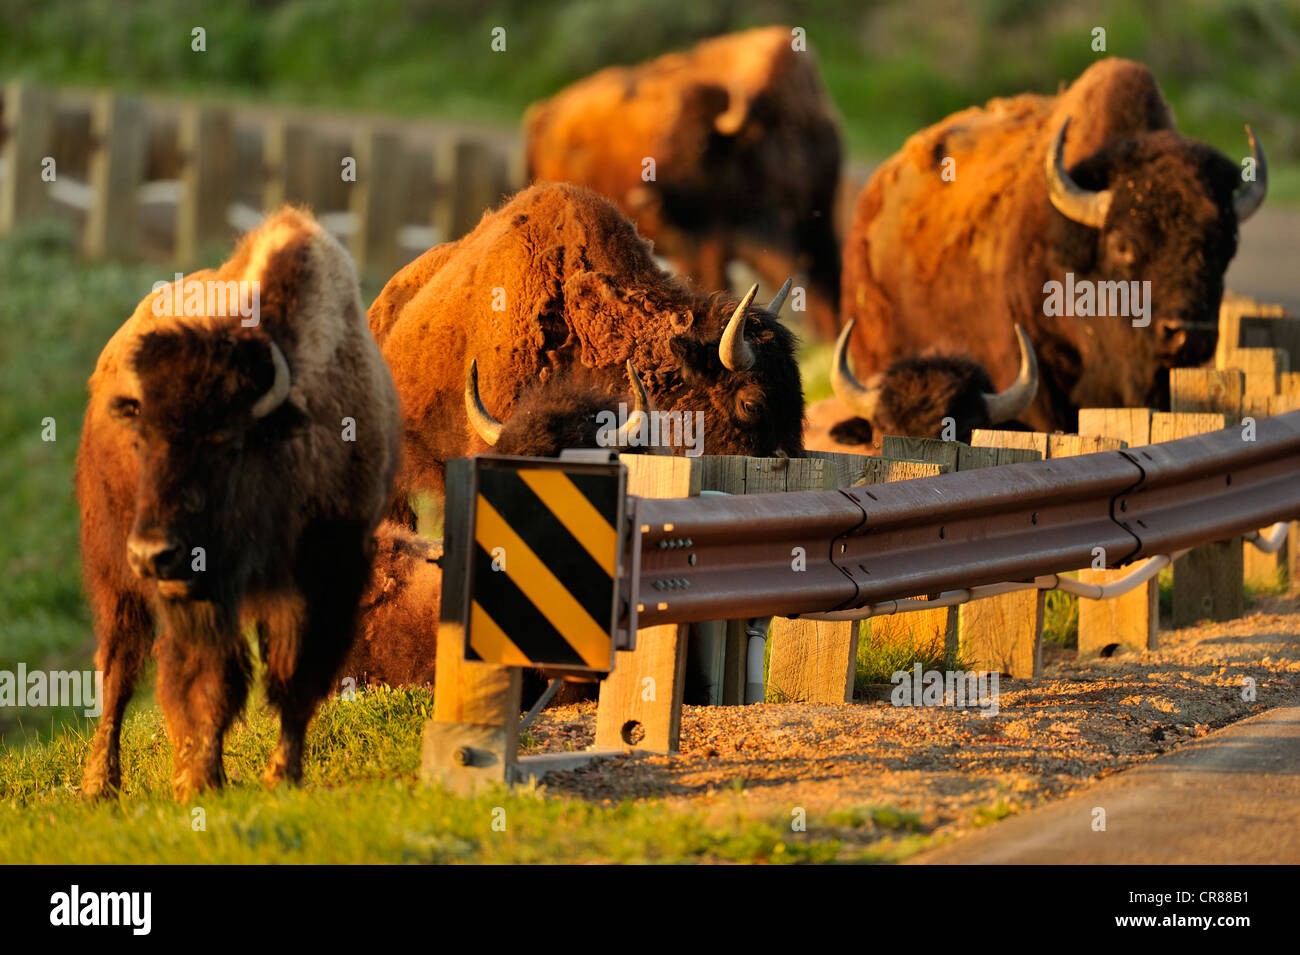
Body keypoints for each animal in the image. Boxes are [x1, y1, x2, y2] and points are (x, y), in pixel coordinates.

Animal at [76, 208, 402, 800]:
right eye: (142, 440)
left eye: (227, 444)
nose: (154, 553)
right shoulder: (203, 589)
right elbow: (210, 681)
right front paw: (199, 781)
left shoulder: (329, 576)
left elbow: (297, 677)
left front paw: (281, 775)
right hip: (114, 568)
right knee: (120, 666)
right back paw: (100, 785)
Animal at [524, 26, 843, 340]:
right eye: (664, 137)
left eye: (699, 145)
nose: (644, 199)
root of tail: (542, 115)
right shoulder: (708, 244)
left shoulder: (818, 219)